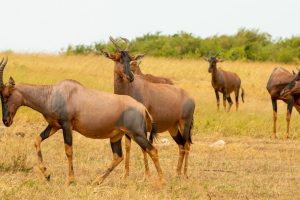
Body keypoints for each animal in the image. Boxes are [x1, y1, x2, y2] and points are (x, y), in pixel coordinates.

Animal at [0, 57, 164, 185]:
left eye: (7, 95)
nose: (6, 121)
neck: (54, 93)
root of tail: (142, 108)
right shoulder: (54, 126)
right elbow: (36, 140)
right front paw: (47, 174)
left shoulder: (66, 125)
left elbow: (68, 150)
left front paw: (70, 180)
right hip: (116, 136)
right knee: (118, 156)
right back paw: (96, 181)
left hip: (137, 134)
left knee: (152, 150)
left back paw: (162, 181)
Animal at [101, 37, 195, 178]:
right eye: (118, 58)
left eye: (131, 59)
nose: (130, 77)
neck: (131, 89)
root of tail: (190, 97)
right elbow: (128, 146)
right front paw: (125, 175)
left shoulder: (142, 126)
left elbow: (144, 147)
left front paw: (146, 175)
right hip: (172, 127)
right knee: (181, 145)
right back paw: (177, 173)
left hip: (185, 123)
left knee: (187, 144)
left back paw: (185, 174)